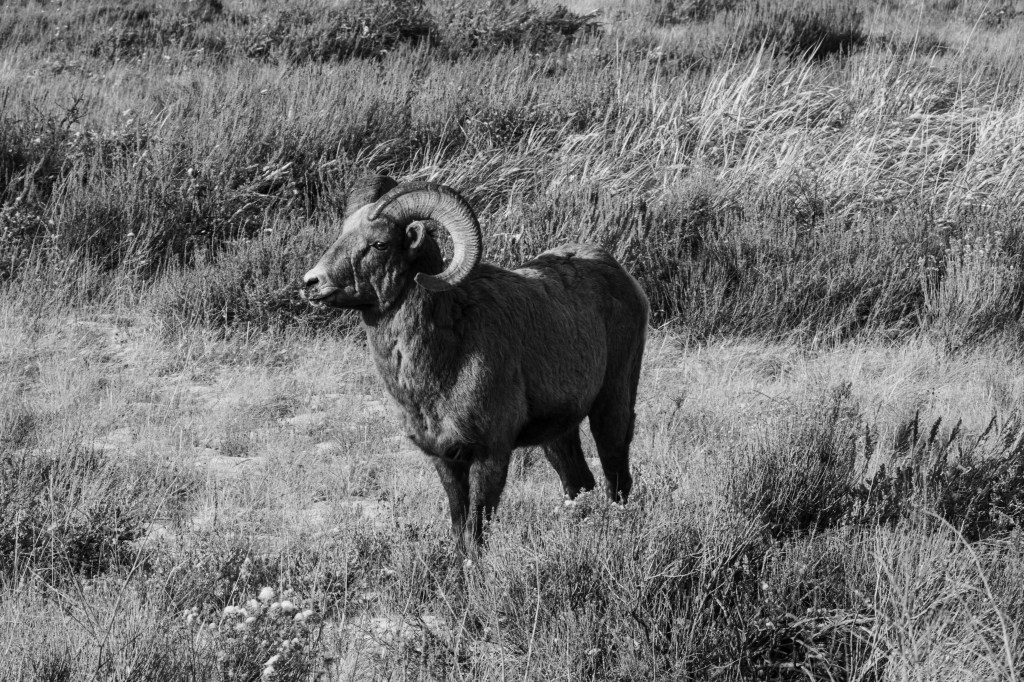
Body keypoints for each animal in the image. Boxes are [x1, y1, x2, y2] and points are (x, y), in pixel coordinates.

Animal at [302, 176, 649, 549]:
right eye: (342, 233)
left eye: (379, 244)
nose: (311, 283)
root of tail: (621, 274)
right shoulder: (445, 460)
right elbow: (459, 528)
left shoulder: (490, 455)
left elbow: (476, 532)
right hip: (558, 435)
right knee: (579, 482)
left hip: (612, 405)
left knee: (617, 479)